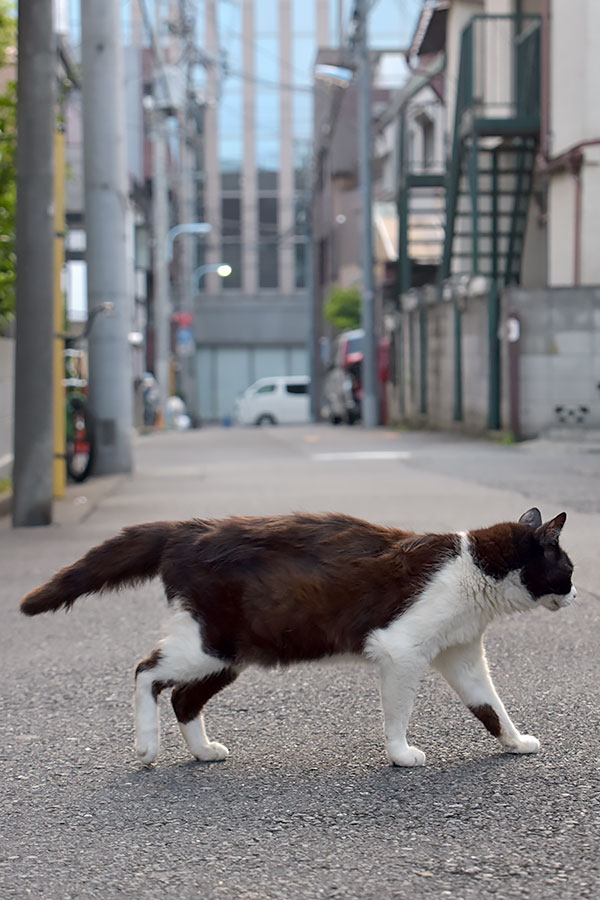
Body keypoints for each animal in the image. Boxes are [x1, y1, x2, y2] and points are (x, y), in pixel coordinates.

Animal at [19, 506, 576, 768]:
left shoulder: (460, 650)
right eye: (568, 569)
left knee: (183, 698)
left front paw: (515, 741)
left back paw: (202, 752)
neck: (474, 566)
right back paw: (145, 745)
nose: (574, 595)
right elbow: (398, 712)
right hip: (211, 641)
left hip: (232, 651)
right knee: (146, 671)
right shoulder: (401, 650)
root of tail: (187, 528)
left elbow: (489, 705)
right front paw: (400, 754)